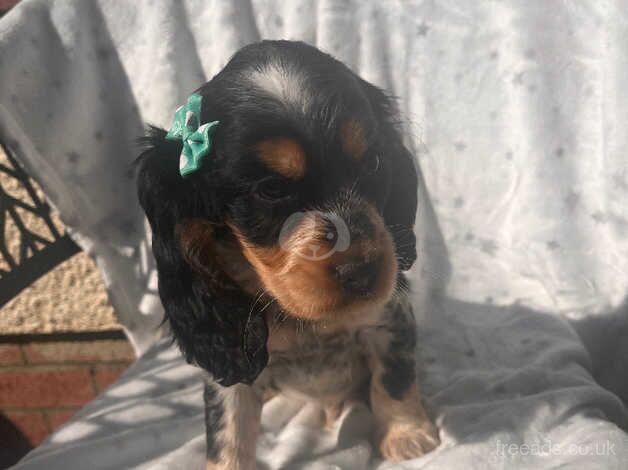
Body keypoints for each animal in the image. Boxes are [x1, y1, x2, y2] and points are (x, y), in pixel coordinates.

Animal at [137, 41, 440, 470]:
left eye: (374, 163)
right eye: (271, 190)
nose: (363, 273)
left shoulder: (388, 318)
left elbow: (394, 376)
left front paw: (407, 434)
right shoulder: (231, 367)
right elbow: (228, 433)